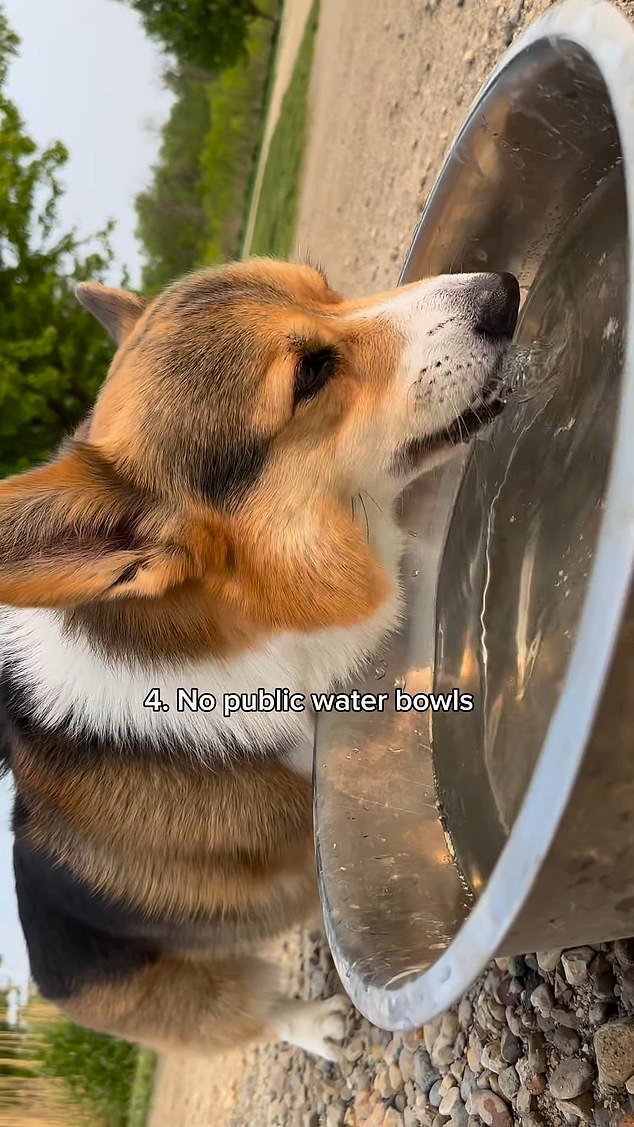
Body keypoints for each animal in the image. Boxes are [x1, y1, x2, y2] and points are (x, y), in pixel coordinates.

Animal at [0, 259, 518, 1059]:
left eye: (325, 286)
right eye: (309, 373)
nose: (504, 291)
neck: (238, 620)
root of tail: (43, 979)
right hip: (197, 995)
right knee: (254, 1014)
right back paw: (315, 1024)